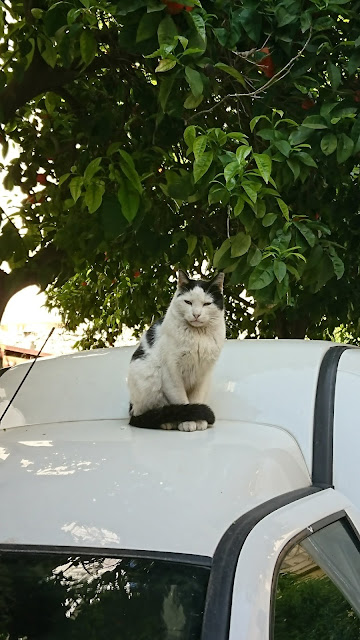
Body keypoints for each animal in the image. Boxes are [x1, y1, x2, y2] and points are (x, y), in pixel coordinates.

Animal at [127, 268, 225, 432]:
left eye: (206, 304)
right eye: (188, 302)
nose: (196, 314)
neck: (198, 337)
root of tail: (131, 407)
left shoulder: (203, 374)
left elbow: (196, 399)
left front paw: (199, 421)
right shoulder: (171, 372)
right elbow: (182, 400)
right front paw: (188, 421)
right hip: (148, 378)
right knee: (148, 413)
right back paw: (168, 422)